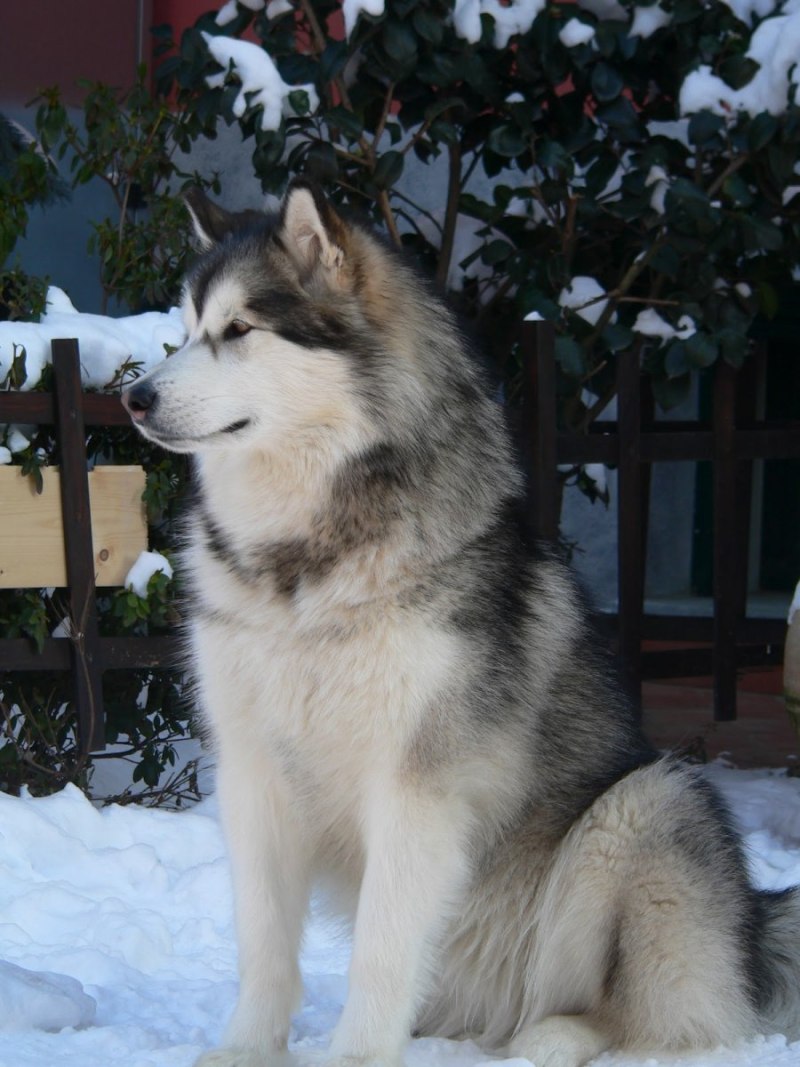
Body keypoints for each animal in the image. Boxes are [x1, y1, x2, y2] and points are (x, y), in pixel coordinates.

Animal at [122, 183, 800, 1067]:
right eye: (185, 330)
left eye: (239, 329)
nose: (134, 396)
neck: (307, 562)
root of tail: (754, 925)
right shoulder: (251, 769)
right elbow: (264, 944)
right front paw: (246, 1049)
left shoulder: (418, 784)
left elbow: (380, 951)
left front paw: (356, 1057)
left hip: (647, 805)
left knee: (647, 1017)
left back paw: (551, 1036)